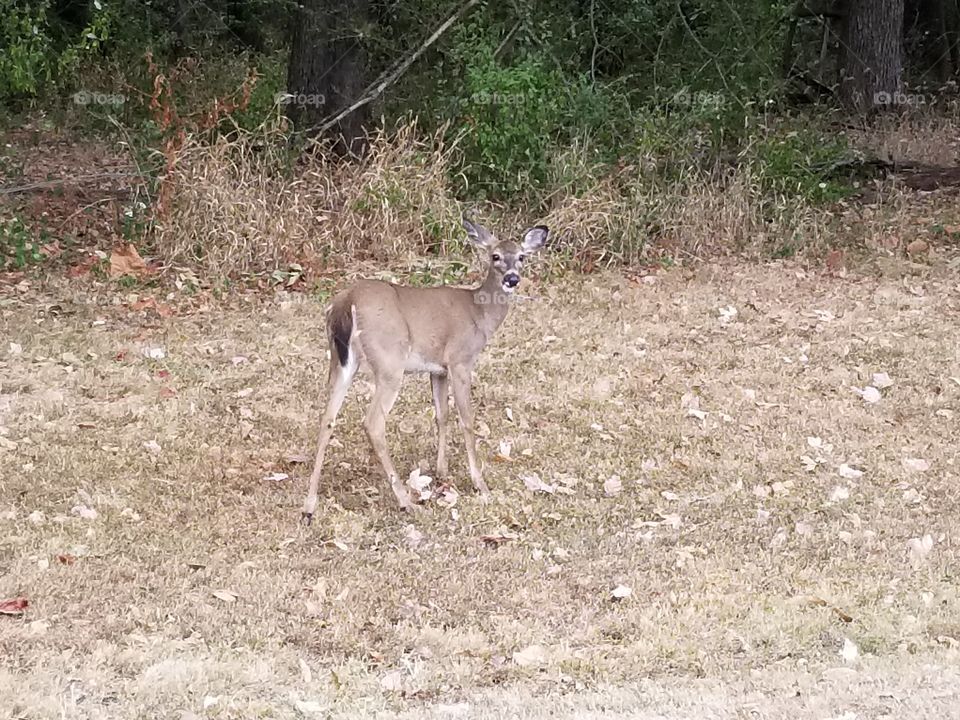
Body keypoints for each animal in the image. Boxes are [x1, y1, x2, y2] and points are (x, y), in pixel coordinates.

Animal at [300, 219, 549, 523]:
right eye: (495, 256)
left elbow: (441, 415)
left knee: (327, 418)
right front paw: (480, 484)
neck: (479, 314)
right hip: (389, 362)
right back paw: (406, 502)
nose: (512, 279)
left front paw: (442, 472)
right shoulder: (460, 360)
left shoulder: (438, 369)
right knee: (373, 422)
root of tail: (346, 303)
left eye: (522, 256)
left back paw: (309, 507)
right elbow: (467, 420)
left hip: (341, 360)